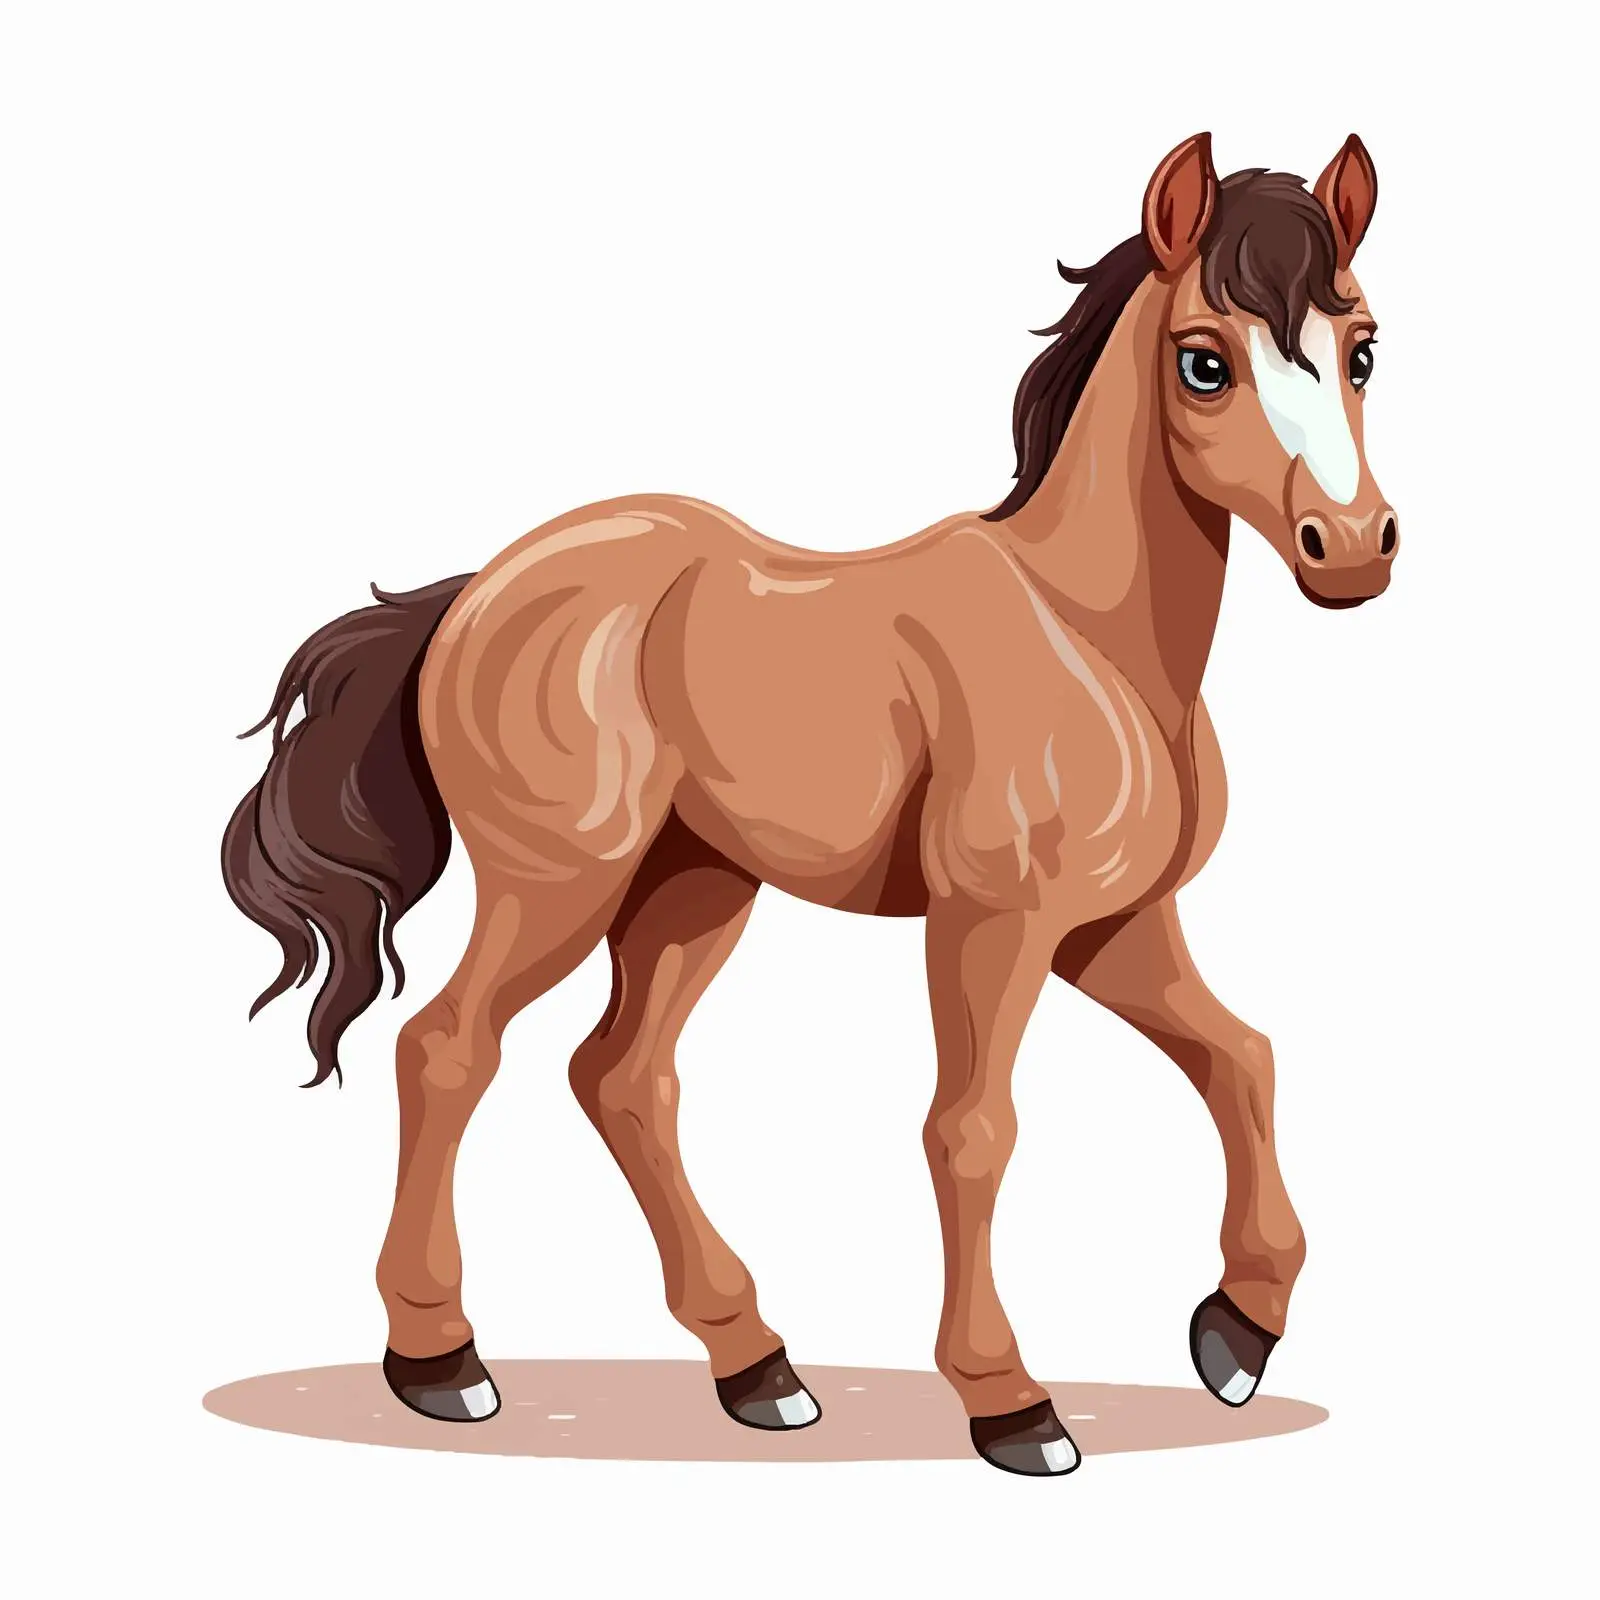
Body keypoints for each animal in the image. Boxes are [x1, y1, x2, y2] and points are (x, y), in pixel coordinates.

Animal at [222, 131, 1393, 1476]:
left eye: (1362, 347)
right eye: (1205, 361)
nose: (1352, 545)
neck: (1088, 637)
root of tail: (476, 592)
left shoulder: (1110, 926)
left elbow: (1241, 1057)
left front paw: (1236, 1333)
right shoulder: (992, 924)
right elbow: (970, 1128)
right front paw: (1012, 1403)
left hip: (691, 890)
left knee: (623, 1077)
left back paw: (758, 1367)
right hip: (558, 886)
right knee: (449, 1048)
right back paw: (442, 1361)